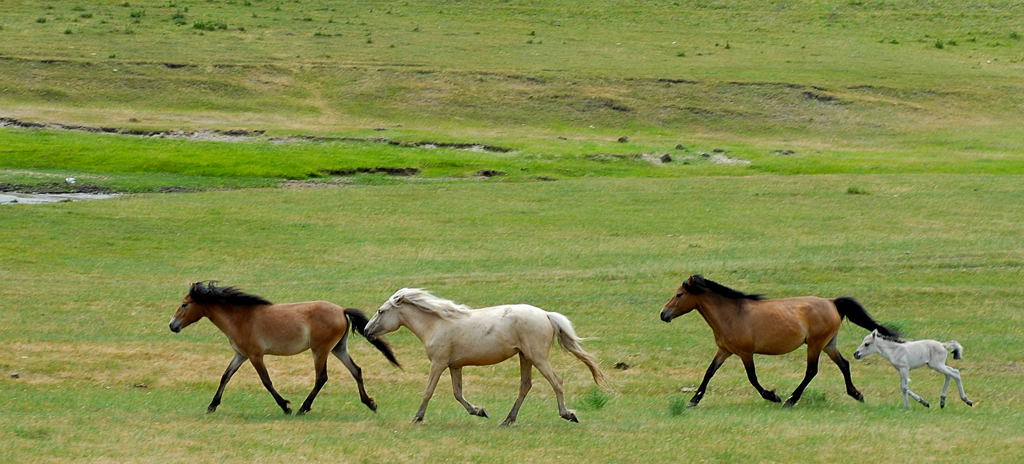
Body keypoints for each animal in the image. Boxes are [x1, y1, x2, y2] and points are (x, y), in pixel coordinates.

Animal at [167, 280, 399, 413]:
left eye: (184, 304)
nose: (172, 325)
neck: (240, 318)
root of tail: (341, 310)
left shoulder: (255, 356)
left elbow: (266, 381)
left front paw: (285, 406)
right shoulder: (240, 355)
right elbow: (225, 376)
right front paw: (212, 405)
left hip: (320, 350)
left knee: (321, 377)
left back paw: (303, 408)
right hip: (338, 348)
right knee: (356, 370)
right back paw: (370, 403)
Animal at [364, 286, 602, 424]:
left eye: (381, 311)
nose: (366, 331)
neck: (437, 324)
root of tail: (545, 314)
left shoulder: (438, 364)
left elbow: (428, 391)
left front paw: (417, 417)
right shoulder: (454, 366)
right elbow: (457, 393)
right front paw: (479, 411)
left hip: (537, 357)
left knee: (556, 382)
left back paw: (568, 414)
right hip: (525, 357)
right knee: (525, 385)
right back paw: (508, 420)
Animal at [659, 274, 892, 405]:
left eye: (679, 295)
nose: (663, 314)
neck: (732, 314)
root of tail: (831, 302)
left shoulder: (745, 353)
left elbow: (752, 378)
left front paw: (772, 396)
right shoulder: (724, 350)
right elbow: (709, 372)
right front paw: (694, 399)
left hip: (815, 344)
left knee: (812, 371)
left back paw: (790, 400)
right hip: (828, 344)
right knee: (844, 364)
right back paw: (856, 394)